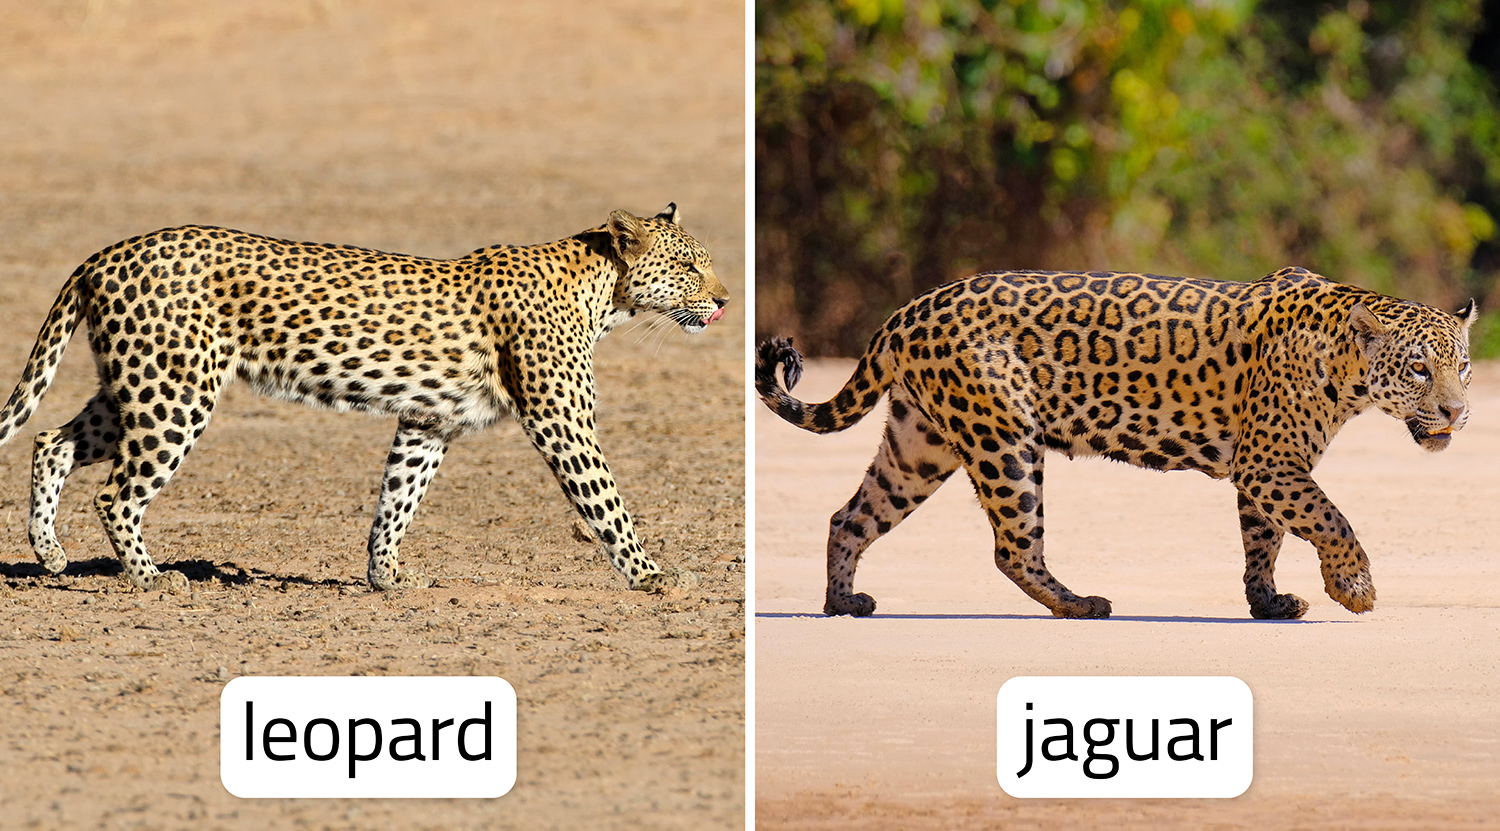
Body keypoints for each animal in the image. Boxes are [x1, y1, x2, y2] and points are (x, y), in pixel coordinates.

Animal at [0, 203, 729, 594]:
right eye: (690, 265)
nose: (724, 300)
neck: (606, 294)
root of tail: (103, 252)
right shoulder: (562, 420)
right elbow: (607, 501)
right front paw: (653, 575)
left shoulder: (430, 420)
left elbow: (397, 499)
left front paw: (388, 577)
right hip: (175, 392)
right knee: (115, 492)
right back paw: (149, 577)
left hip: (138, 383)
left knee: (50, 441)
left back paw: (51, 554)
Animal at [756, 267, 1474, 620]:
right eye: (1418, 369)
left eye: (1462, 366)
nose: (1458, 411)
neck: (1347, 366)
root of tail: (908, 310)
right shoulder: (1270, 462)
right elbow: (1330, 517)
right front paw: (1353, 586)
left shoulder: (1264, 467)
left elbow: (1263, 539)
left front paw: (1267, 603)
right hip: (1005, 439)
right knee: (1013, 548)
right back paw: (1079, 605)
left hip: (919, 444)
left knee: (850, 516)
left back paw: (842, 603)